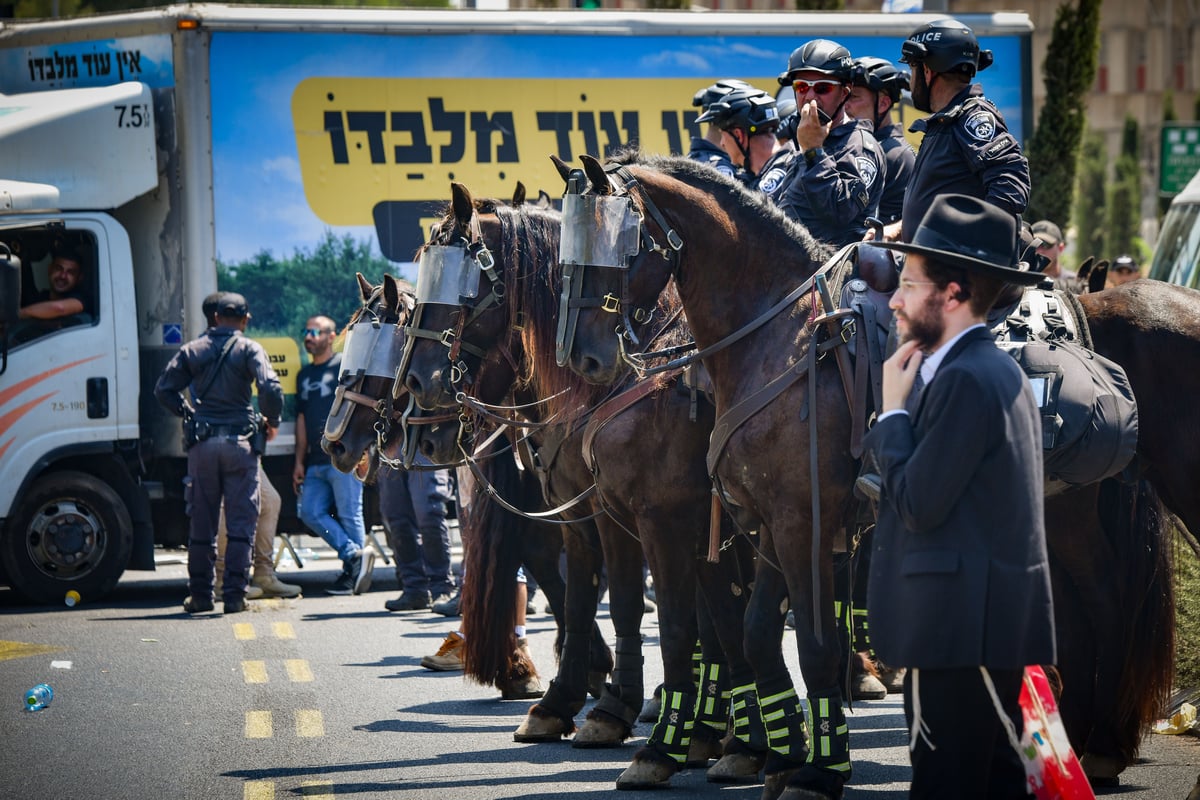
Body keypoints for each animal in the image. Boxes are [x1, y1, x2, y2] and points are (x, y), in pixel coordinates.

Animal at [398, 185, 763, 786]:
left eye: (463, 284)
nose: (413, 390)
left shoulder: (661, 516)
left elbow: (669, 614)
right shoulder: (598, 512)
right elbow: (599, 600)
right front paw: (585, 704)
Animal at [556, 149, 1176, 796]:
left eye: (621, 241)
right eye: (568, 244)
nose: (584, 357)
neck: (776, 336)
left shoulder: (779, 521)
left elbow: (804, 643)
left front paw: (814, 766)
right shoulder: (765, 522)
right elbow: (756, 632)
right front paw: (782, 753)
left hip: (1069, 511)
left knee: (1104, 601)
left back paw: (1099, 745)